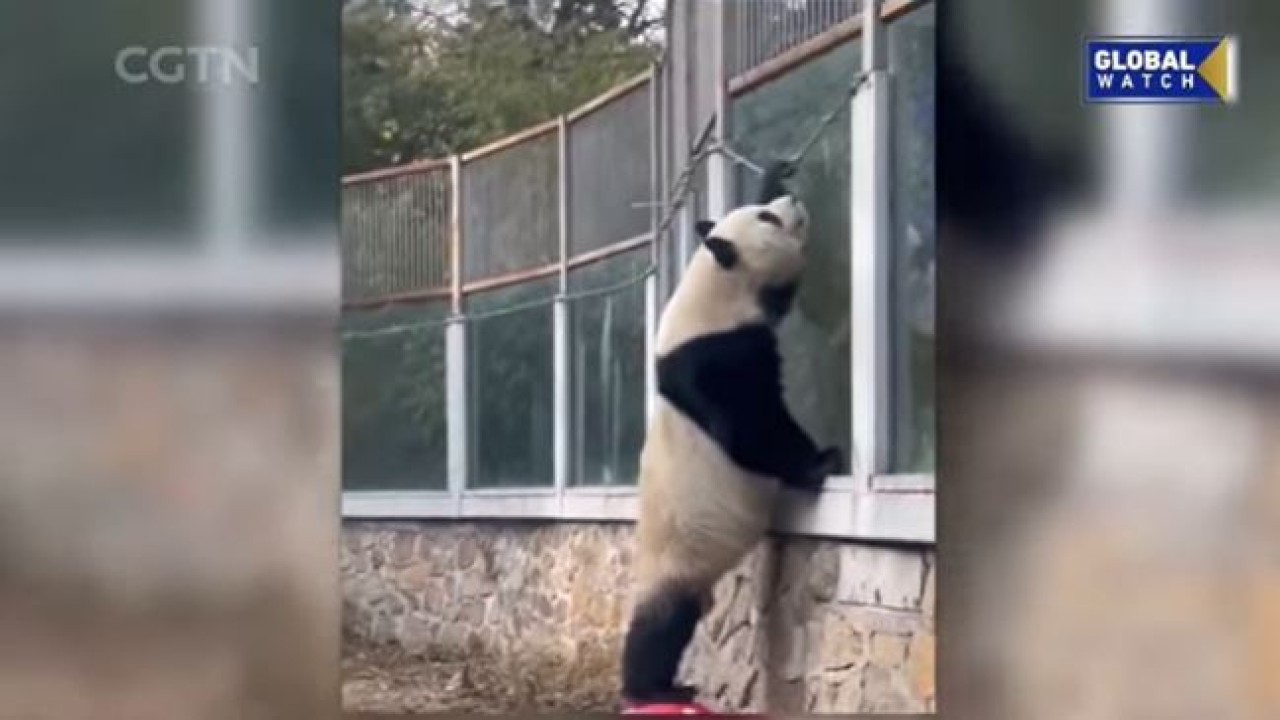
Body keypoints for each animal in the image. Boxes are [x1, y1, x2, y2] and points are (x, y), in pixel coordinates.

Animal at [620, 161, 844, 707]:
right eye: (768, 219)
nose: (792, 202)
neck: (712, 286)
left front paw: (775, 172)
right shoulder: (717, 354)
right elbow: (750, 428)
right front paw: (821, 460)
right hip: (675, 557)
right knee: (661, 625)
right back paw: (651, 688)